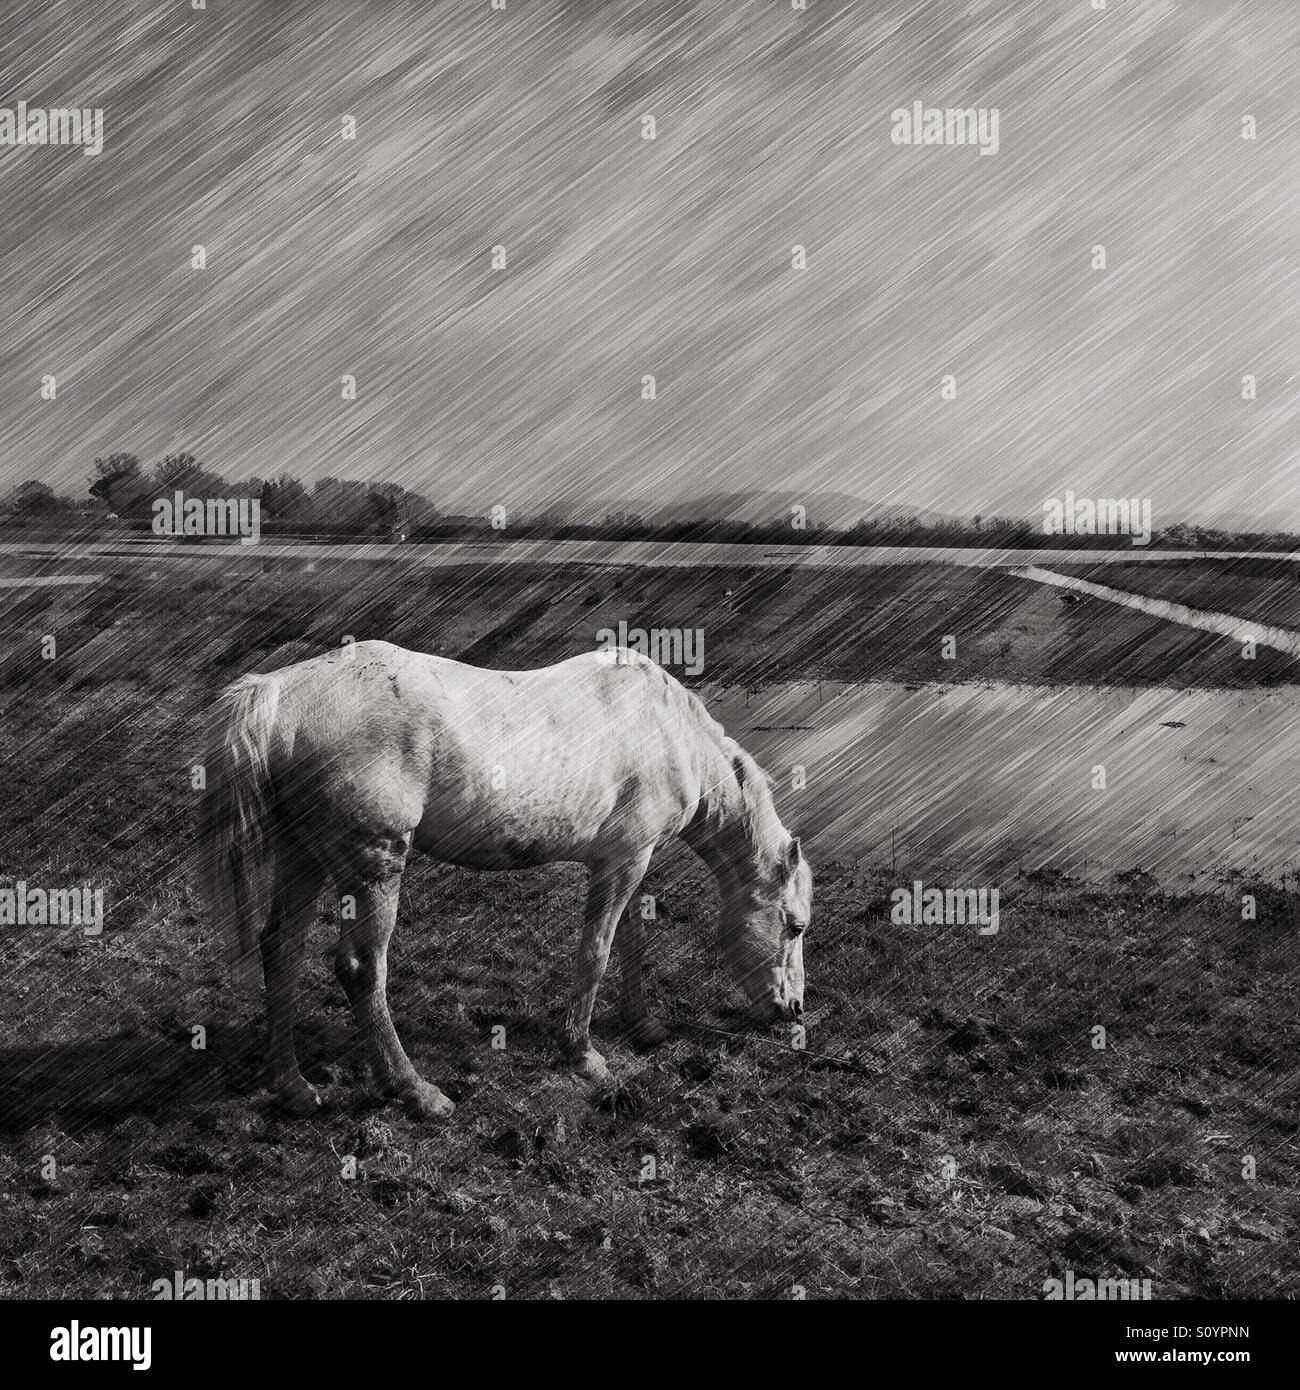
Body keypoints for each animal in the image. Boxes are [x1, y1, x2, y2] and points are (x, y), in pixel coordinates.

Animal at [197, 639, 812, 1120]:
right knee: (360, 968)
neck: (665, 729)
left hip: (301, 854)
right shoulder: (622, 862)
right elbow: (597, 952)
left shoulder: (633, 861)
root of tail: (279, 694)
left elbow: (630, 944)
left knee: (281, 946)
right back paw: (414, 1091)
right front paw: (583, 1055)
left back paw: (293, 1088)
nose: (793, 1009)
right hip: (372, 864)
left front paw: (643, 1026)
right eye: (795, 927)